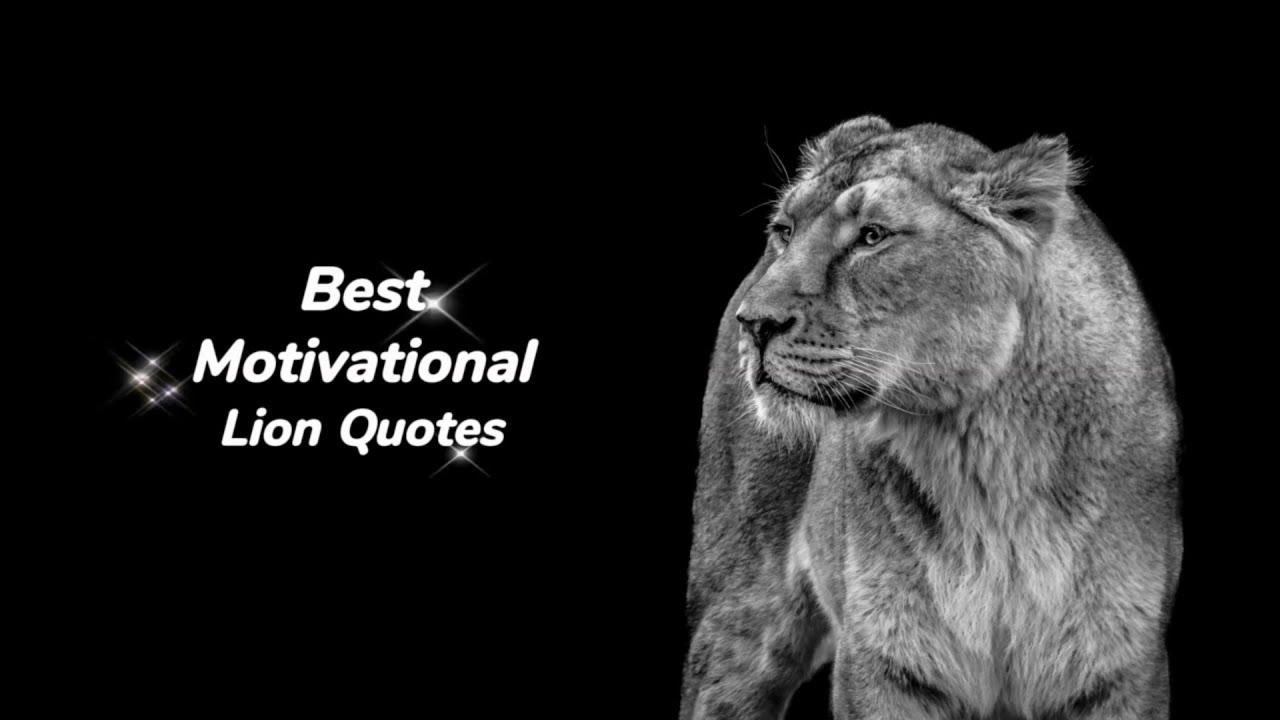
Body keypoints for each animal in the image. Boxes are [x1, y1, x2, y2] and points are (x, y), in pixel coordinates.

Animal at [681, 117, 1181, 719]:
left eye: (872, 237)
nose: (753, 323)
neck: (982, 450)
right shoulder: (885, 663)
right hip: (737, 616)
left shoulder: (1122, 667)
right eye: (784, 229)